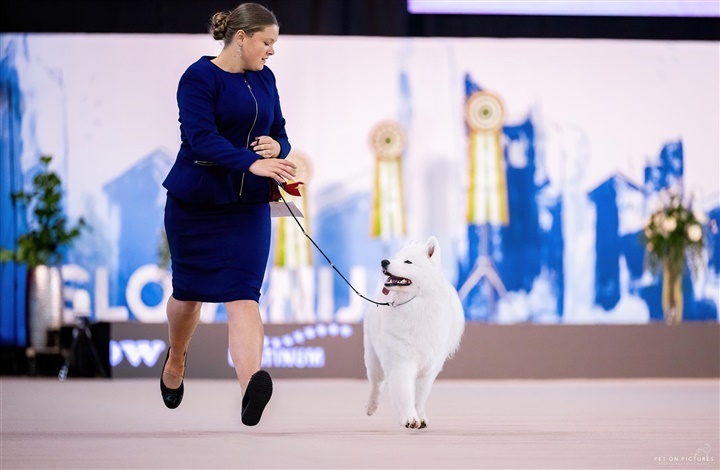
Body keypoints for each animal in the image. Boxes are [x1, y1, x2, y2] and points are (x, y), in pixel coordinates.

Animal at [362, 237, 464, 428]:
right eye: (395, 258)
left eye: (408, 262)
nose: (384, 261)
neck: (415, 304)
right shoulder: (401, 362)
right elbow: (404, 394)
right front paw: (409, 418)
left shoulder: (428, 369)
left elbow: (420, 397)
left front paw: (418, 416)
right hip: (373, 359)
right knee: (376, 385)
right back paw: (371, 406)